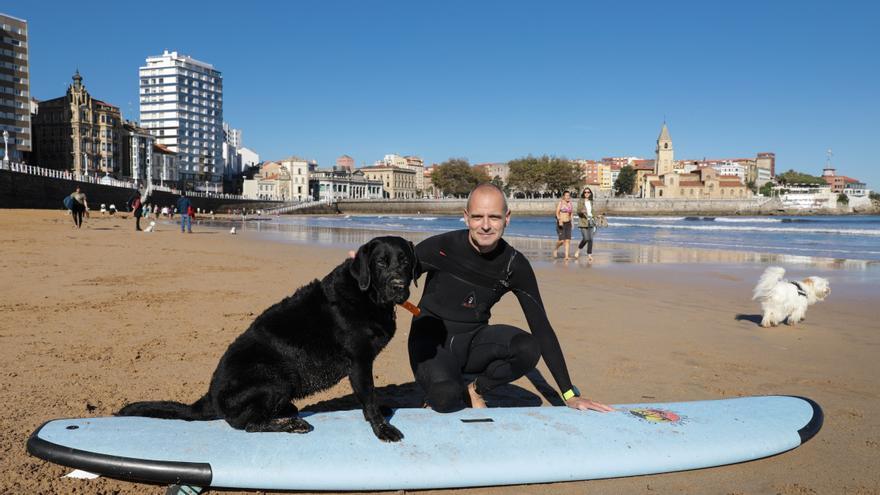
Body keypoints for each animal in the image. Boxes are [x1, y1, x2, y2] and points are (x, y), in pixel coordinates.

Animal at [118, 236, 418, 442]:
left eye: (405, 261)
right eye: (380, 262)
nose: (398, 286)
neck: (367, 296)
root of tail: (210, 397)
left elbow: (370, 398)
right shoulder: (359, 363)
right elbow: (369, 397)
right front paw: (382, 428)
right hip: (276, 378)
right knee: (249, 424)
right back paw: (291, 424)